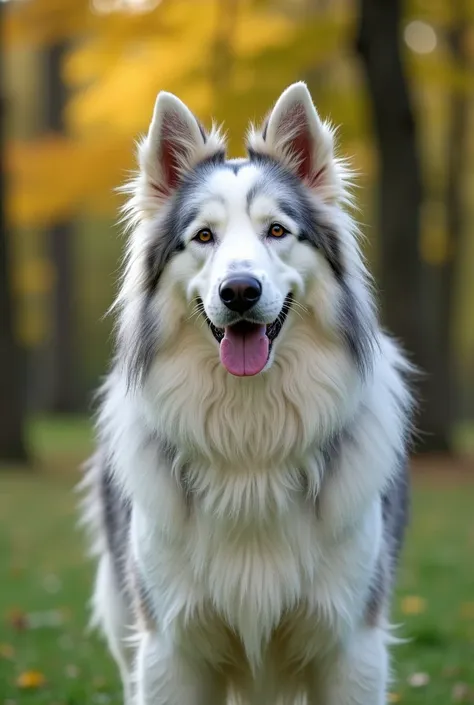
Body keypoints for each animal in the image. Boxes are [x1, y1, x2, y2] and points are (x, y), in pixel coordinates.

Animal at [80, 84, 412, 704]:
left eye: (276, 231)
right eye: (203, 237)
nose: (239, 291)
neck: (251, 433)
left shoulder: (352, 646)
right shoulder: (170, 650)